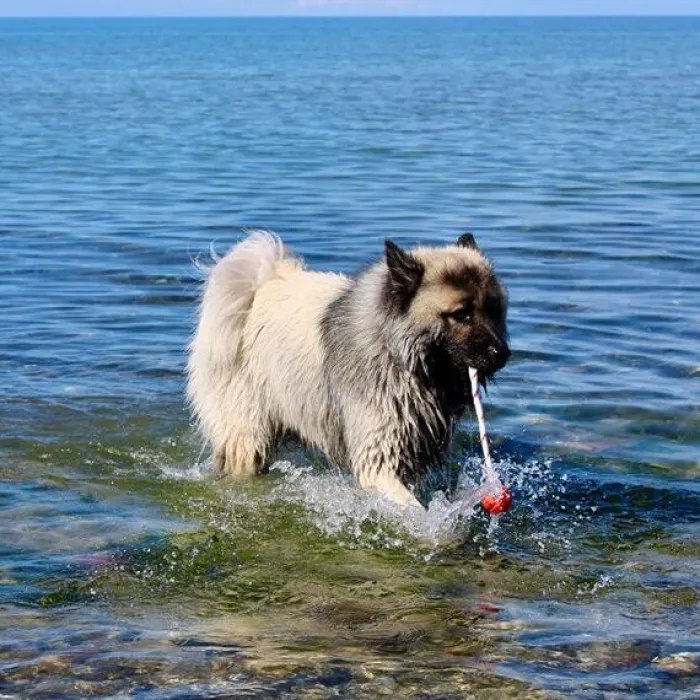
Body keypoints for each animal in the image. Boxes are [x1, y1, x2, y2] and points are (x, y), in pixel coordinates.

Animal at [189, 232, 512, 506]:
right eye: (462, 315)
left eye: (493, 309)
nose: (503, 354)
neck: (398, 354)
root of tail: (262, 286)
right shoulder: (379, 459)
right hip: (247, 434)